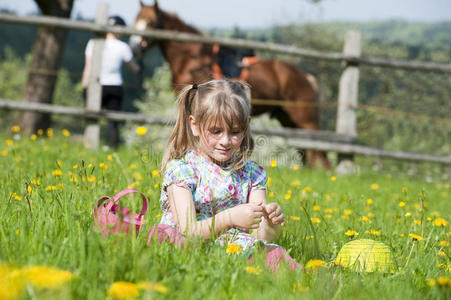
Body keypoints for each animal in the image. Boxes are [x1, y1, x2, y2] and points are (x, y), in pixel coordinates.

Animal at [130, 1, 328, 168]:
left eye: (151, 22)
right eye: (136, 20)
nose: (135, 48)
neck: (193, 58)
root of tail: (306, 76)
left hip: (306, 120)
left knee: (320, 154)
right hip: (288, 119)